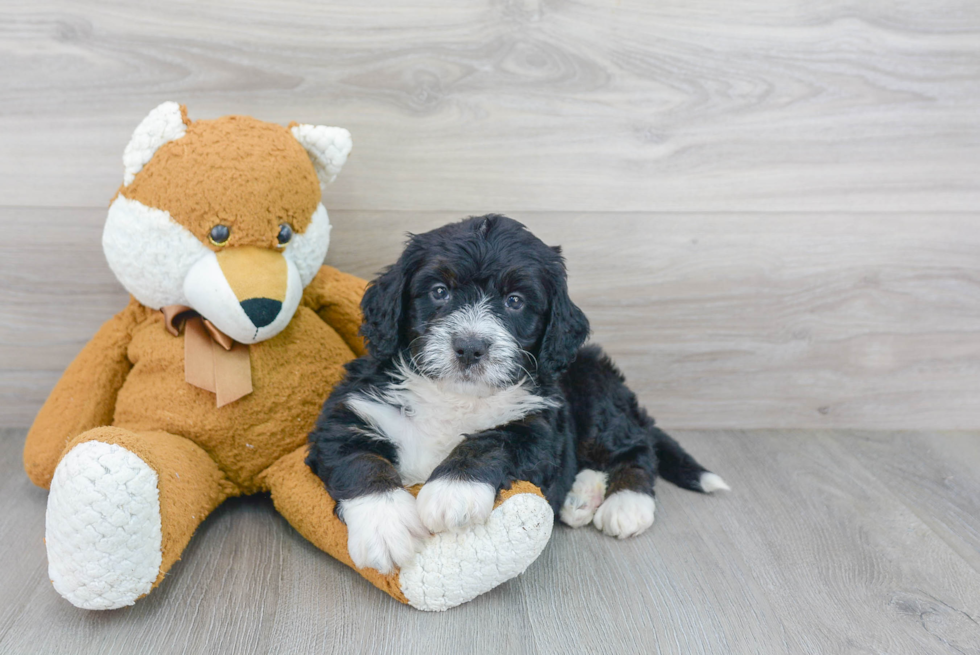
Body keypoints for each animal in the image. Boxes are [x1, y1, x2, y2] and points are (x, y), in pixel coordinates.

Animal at [306, 217, 728, 576]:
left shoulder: (539, 428)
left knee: (637, 448)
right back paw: (581, 496)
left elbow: (493, 440)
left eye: (514, 301)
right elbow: (361, 461)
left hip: (595, 392)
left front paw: (452, 491)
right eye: (439, 291)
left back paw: (626, 504)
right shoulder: (349, 411)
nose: (470, 347)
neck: (455, 398)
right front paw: (386, 527)